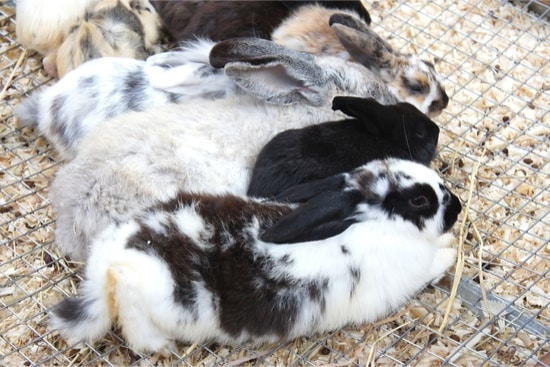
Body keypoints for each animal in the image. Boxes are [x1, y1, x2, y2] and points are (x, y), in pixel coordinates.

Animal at [50, 159, 466, 354]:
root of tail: (108, 257)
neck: (376, 225)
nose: (458, 207)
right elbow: (435, 263)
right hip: (147, 291)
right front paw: (451, 251)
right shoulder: (407, 273)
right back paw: (159, 346)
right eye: (420, 200)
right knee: (129, 307)